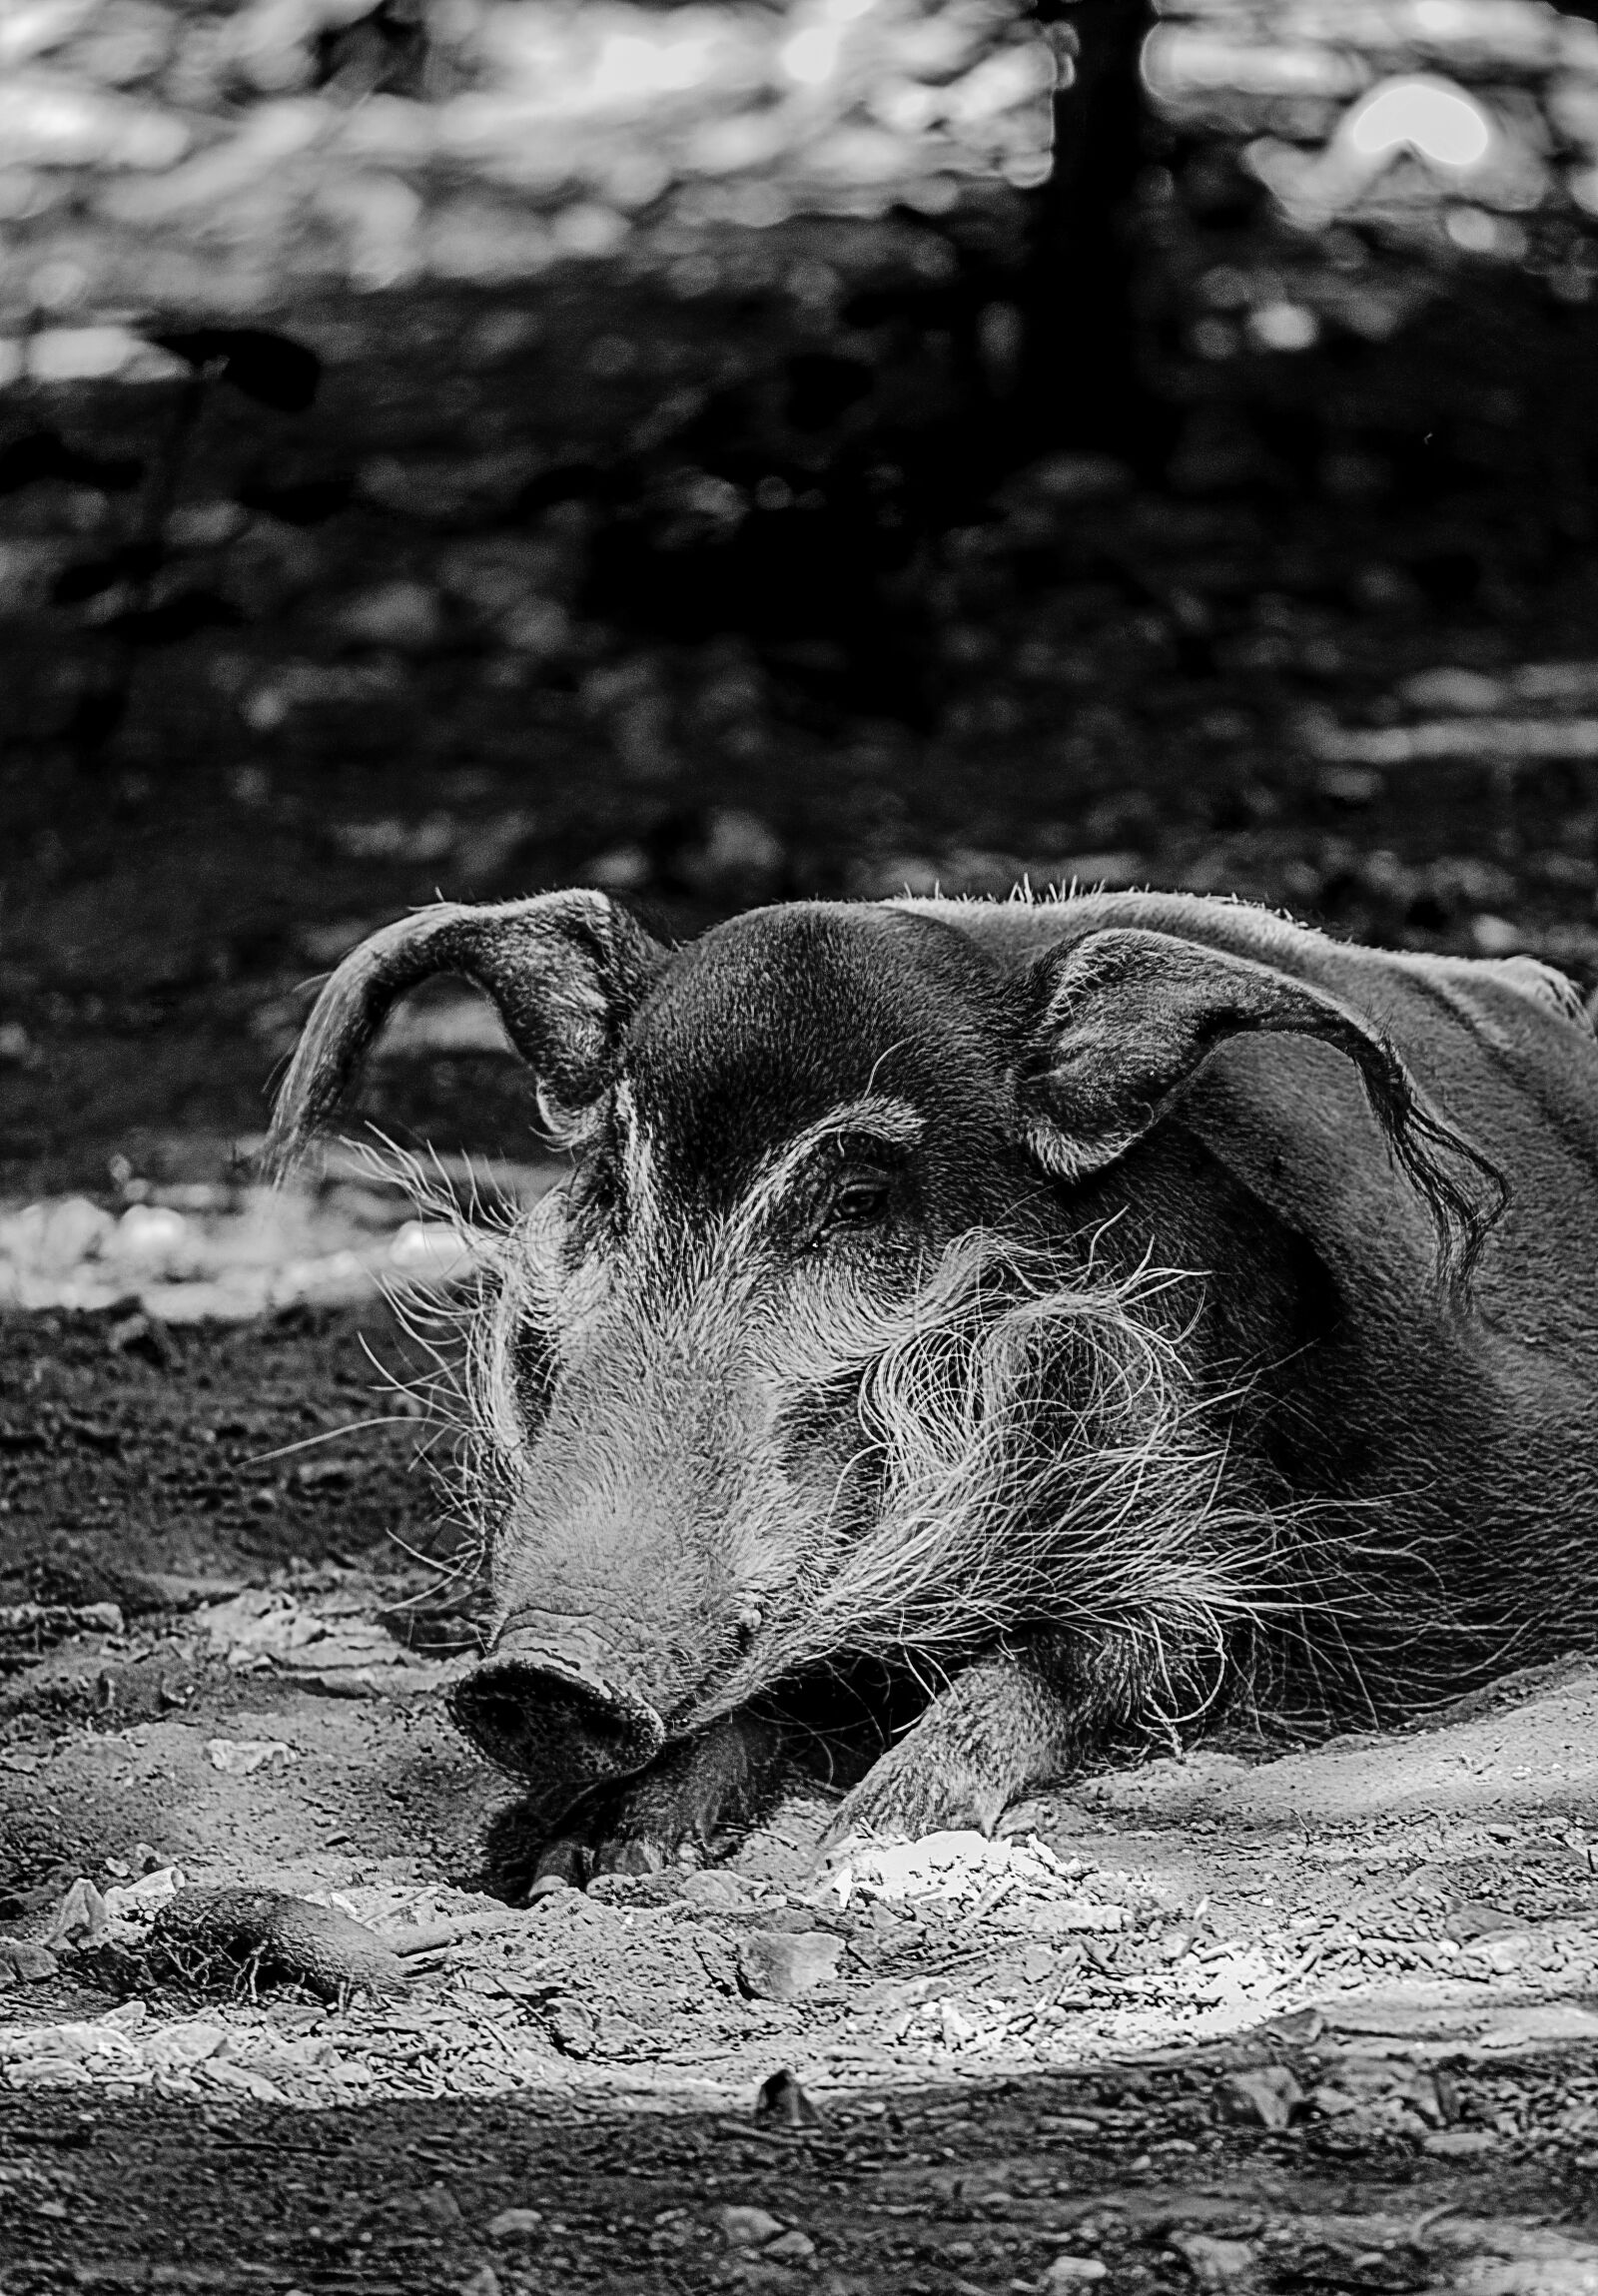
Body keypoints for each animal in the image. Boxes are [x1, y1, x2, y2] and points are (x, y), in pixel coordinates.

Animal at [265, 887, 1598, 1879]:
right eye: (609, 1185)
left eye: (859, 1201)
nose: (537, 1674)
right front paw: (597, 1864)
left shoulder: (1233, 1577)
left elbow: (1069, 1657)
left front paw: (872, 1835)